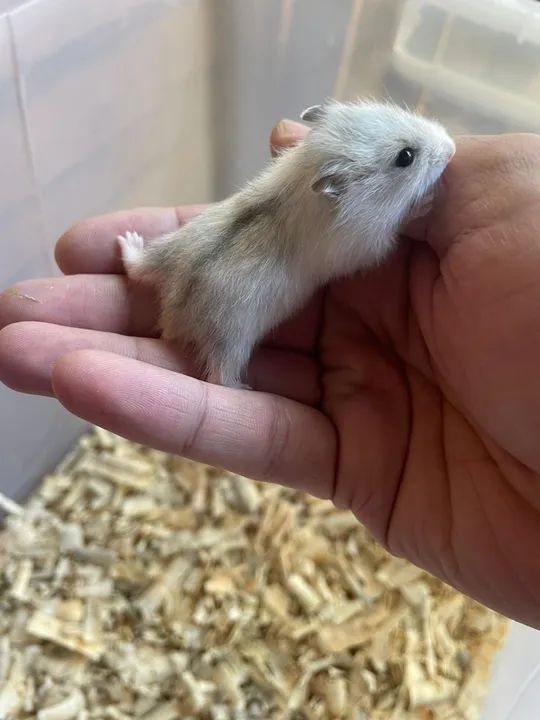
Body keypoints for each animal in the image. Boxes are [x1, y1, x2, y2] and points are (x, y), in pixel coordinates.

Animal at [118, 99, 455, 388]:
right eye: (405, 157)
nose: (451, 147)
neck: (305, 174)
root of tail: (173, 315)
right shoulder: (367, 246)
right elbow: (395, 232)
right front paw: (425, 204)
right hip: (229, 340)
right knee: (219, 376)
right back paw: (244, 387)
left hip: (172, 247)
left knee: (138, 268)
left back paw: (128, 240)